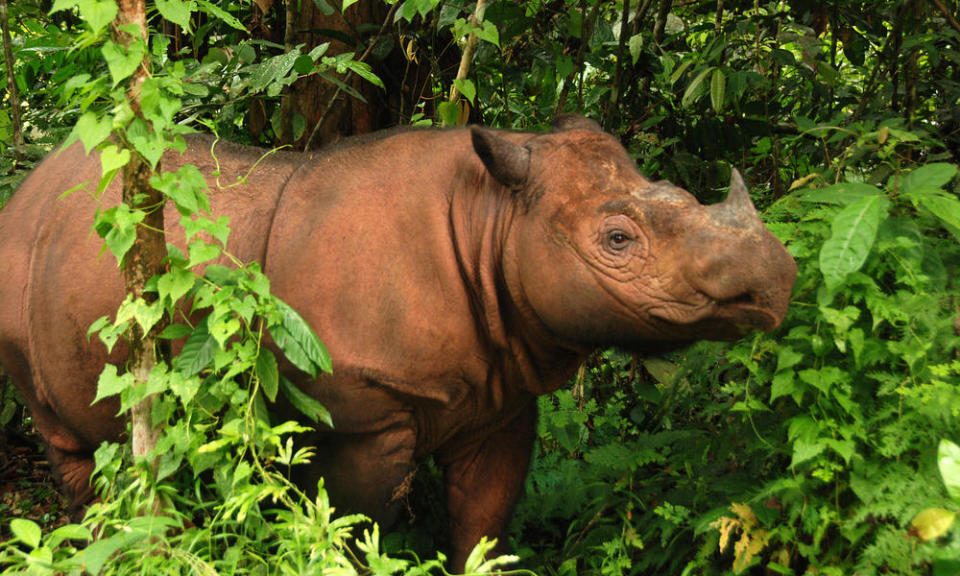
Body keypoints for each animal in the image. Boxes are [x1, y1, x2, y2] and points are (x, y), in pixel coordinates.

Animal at [0, 116, 796, 568]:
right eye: (618, 239)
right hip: (19, 270)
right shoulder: (360, 416)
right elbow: (353, 529)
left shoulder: (501, 398)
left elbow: (483, 525)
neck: (492, 217)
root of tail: (28, 190)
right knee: (70, 443)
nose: (776, 280)